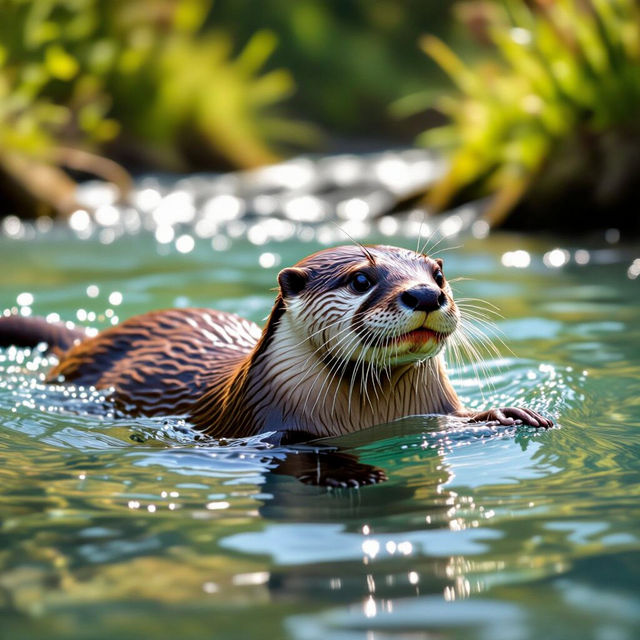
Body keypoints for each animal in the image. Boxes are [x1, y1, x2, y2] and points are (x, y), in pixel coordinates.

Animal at [0, 245, 551, 448]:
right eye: (361, 278)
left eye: (437, 273)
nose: (425, 294)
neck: (371, 416)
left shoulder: (435, 410)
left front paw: (511, 414)